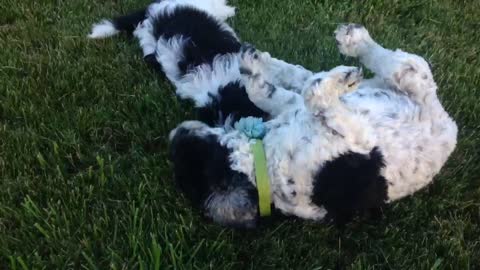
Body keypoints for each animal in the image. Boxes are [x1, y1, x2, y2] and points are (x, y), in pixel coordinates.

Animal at [89, 0, 458, 228]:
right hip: (415, 79)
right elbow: (314, 95)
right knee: (395, 64)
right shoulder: (357, 136)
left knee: (305, 75)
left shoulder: (291, 110)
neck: (265, 165)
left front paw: (255, 71)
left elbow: (274, 91)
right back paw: (352, 45)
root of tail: (450, 125)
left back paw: (266, 59)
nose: (177, 132)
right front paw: (333, 81)